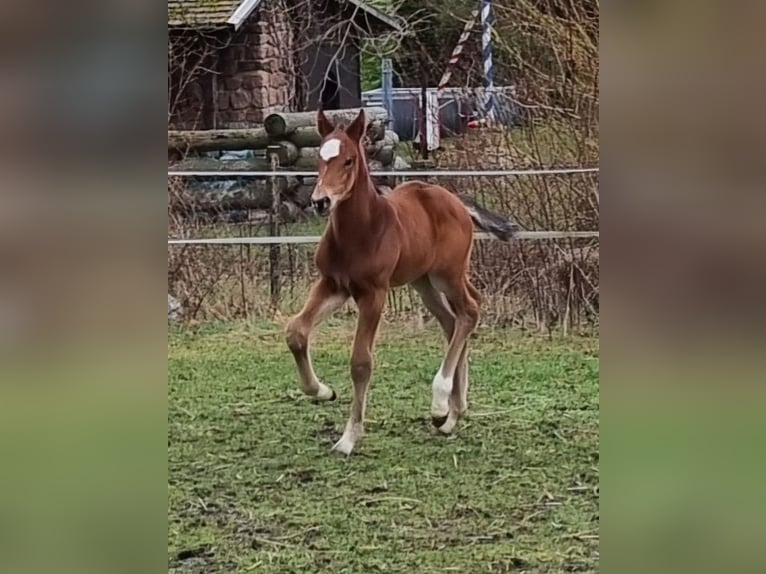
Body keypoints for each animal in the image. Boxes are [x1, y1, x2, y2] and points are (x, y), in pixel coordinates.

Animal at [284, 110, 520, 456]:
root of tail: (455, 201)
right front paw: (322, 391)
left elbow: (361, 362)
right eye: (321, 158)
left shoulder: (374, 294)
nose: (320, 202)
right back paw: (452, 414)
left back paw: (440, 404)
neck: (361, 231)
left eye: (349, 160)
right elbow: (296, 332)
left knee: (470, 310)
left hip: (448, 274)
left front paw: (349, 438)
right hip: (423, 281)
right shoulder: (333, 285)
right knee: (453, 321)